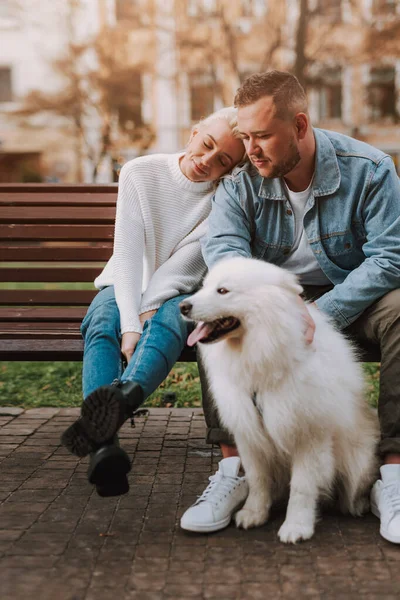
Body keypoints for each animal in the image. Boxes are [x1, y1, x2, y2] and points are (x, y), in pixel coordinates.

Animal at [181, 258, 378, 544]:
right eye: (204, 287)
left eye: (223, 291)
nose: (182, 306)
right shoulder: (249, 433)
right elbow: (257, 479)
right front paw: (254, 513)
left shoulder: (309, 434)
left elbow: (302, 487)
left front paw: (296, 526)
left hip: (358, 461)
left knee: (355, 489)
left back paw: (358, 505)